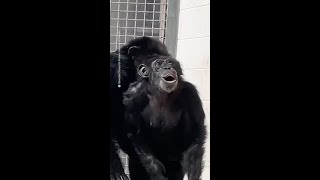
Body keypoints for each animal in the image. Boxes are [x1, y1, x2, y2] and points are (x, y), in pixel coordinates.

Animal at [122, 51, 208, 179]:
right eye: (158, 64)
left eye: (170, 62)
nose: (168, 67)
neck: (161, 92)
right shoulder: (132, 97)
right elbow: (135, 132)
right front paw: (156, 172)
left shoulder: (191, 93)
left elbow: (196, 135)